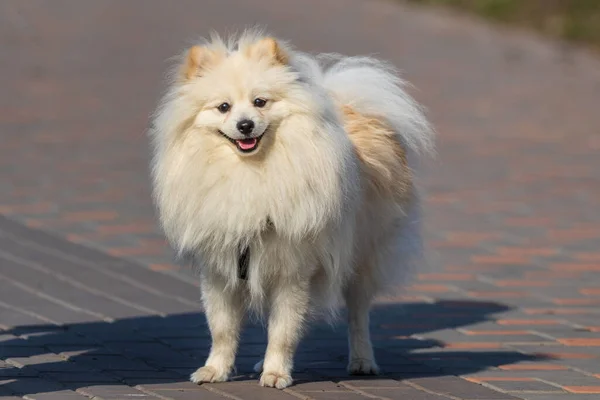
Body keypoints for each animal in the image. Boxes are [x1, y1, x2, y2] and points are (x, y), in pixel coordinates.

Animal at [148, 30, 434, 388]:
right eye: (224, 107)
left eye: (260, 102)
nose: (245, 125)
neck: (250, 173)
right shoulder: (220, 270)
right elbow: (222, 328)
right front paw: (215, 370)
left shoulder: (292, 271)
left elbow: (283, 331)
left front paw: (275, 373)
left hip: (362, 257)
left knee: (358, 314)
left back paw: (362, 361)